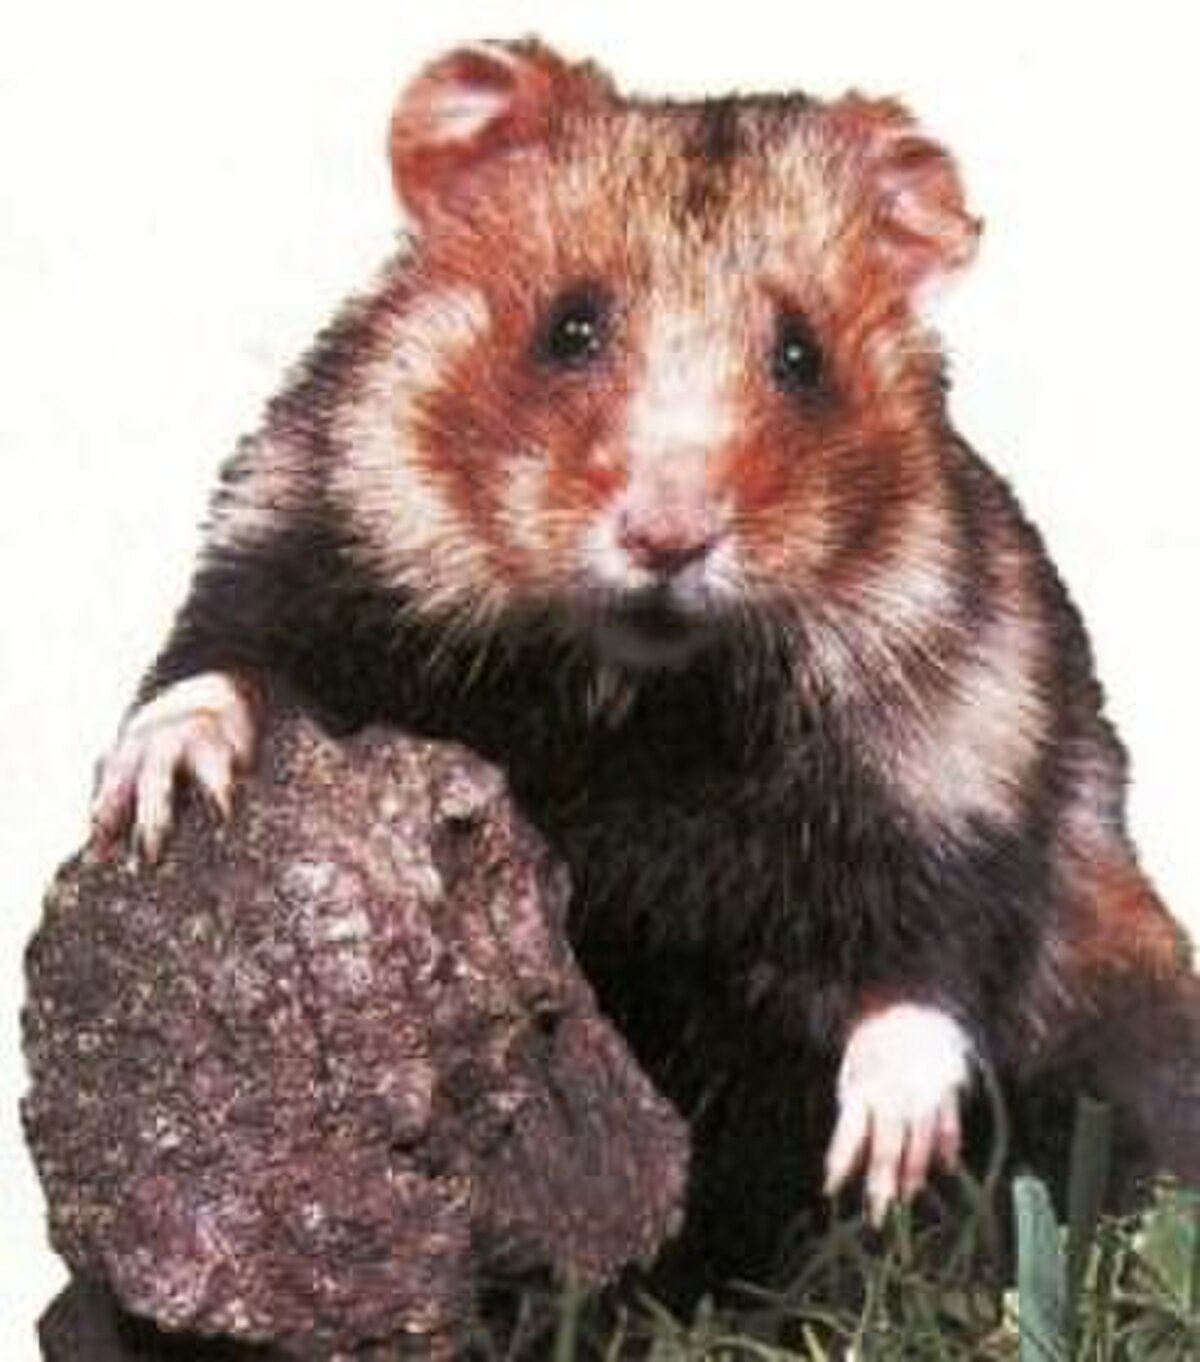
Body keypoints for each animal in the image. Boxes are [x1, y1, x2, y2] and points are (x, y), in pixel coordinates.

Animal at [92, 40, 1197, 1293]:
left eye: (802, 356)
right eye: (568, 328)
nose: (668, 538)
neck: (632, 690)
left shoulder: (971, 725)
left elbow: (938, 928)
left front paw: (879, 1157)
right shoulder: (308, 523)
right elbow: (216, 654)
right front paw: (162, 794)